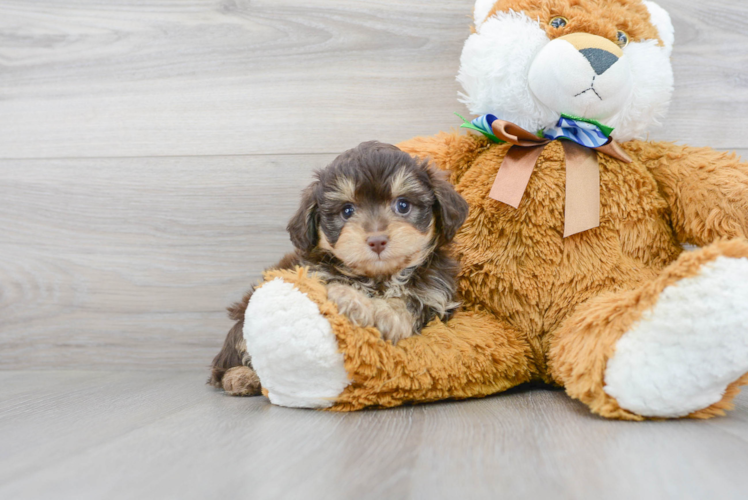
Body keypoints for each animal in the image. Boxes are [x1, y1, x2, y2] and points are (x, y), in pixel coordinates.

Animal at [209, 140, 468, 394]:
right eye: (347, 211)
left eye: (403, 205)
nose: (377, 241)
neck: (380, 277)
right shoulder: (313, 274)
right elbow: (333, 285)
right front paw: (350, 298)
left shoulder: (436, 299)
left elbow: (410, 305)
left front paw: (381, 312)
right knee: (232, 356)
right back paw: (240, 377)